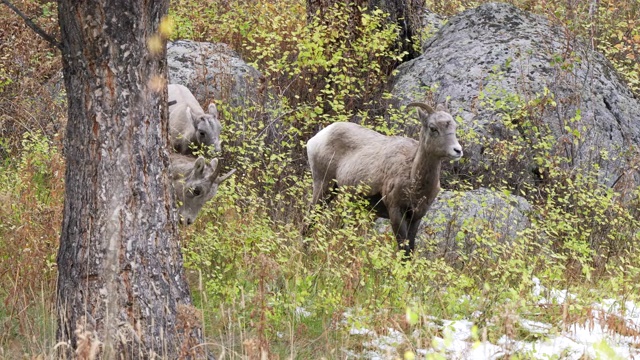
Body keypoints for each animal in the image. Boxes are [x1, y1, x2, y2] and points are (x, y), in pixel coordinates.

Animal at [304, 102, 460, 258]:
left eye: (454, 127)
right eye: (433, 128)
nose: (457, 150)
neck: (413, 178)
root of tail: (318, 136)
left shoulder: (416, 217)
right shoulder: (396, 213)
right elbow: (404, 250)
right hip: (323, 187)